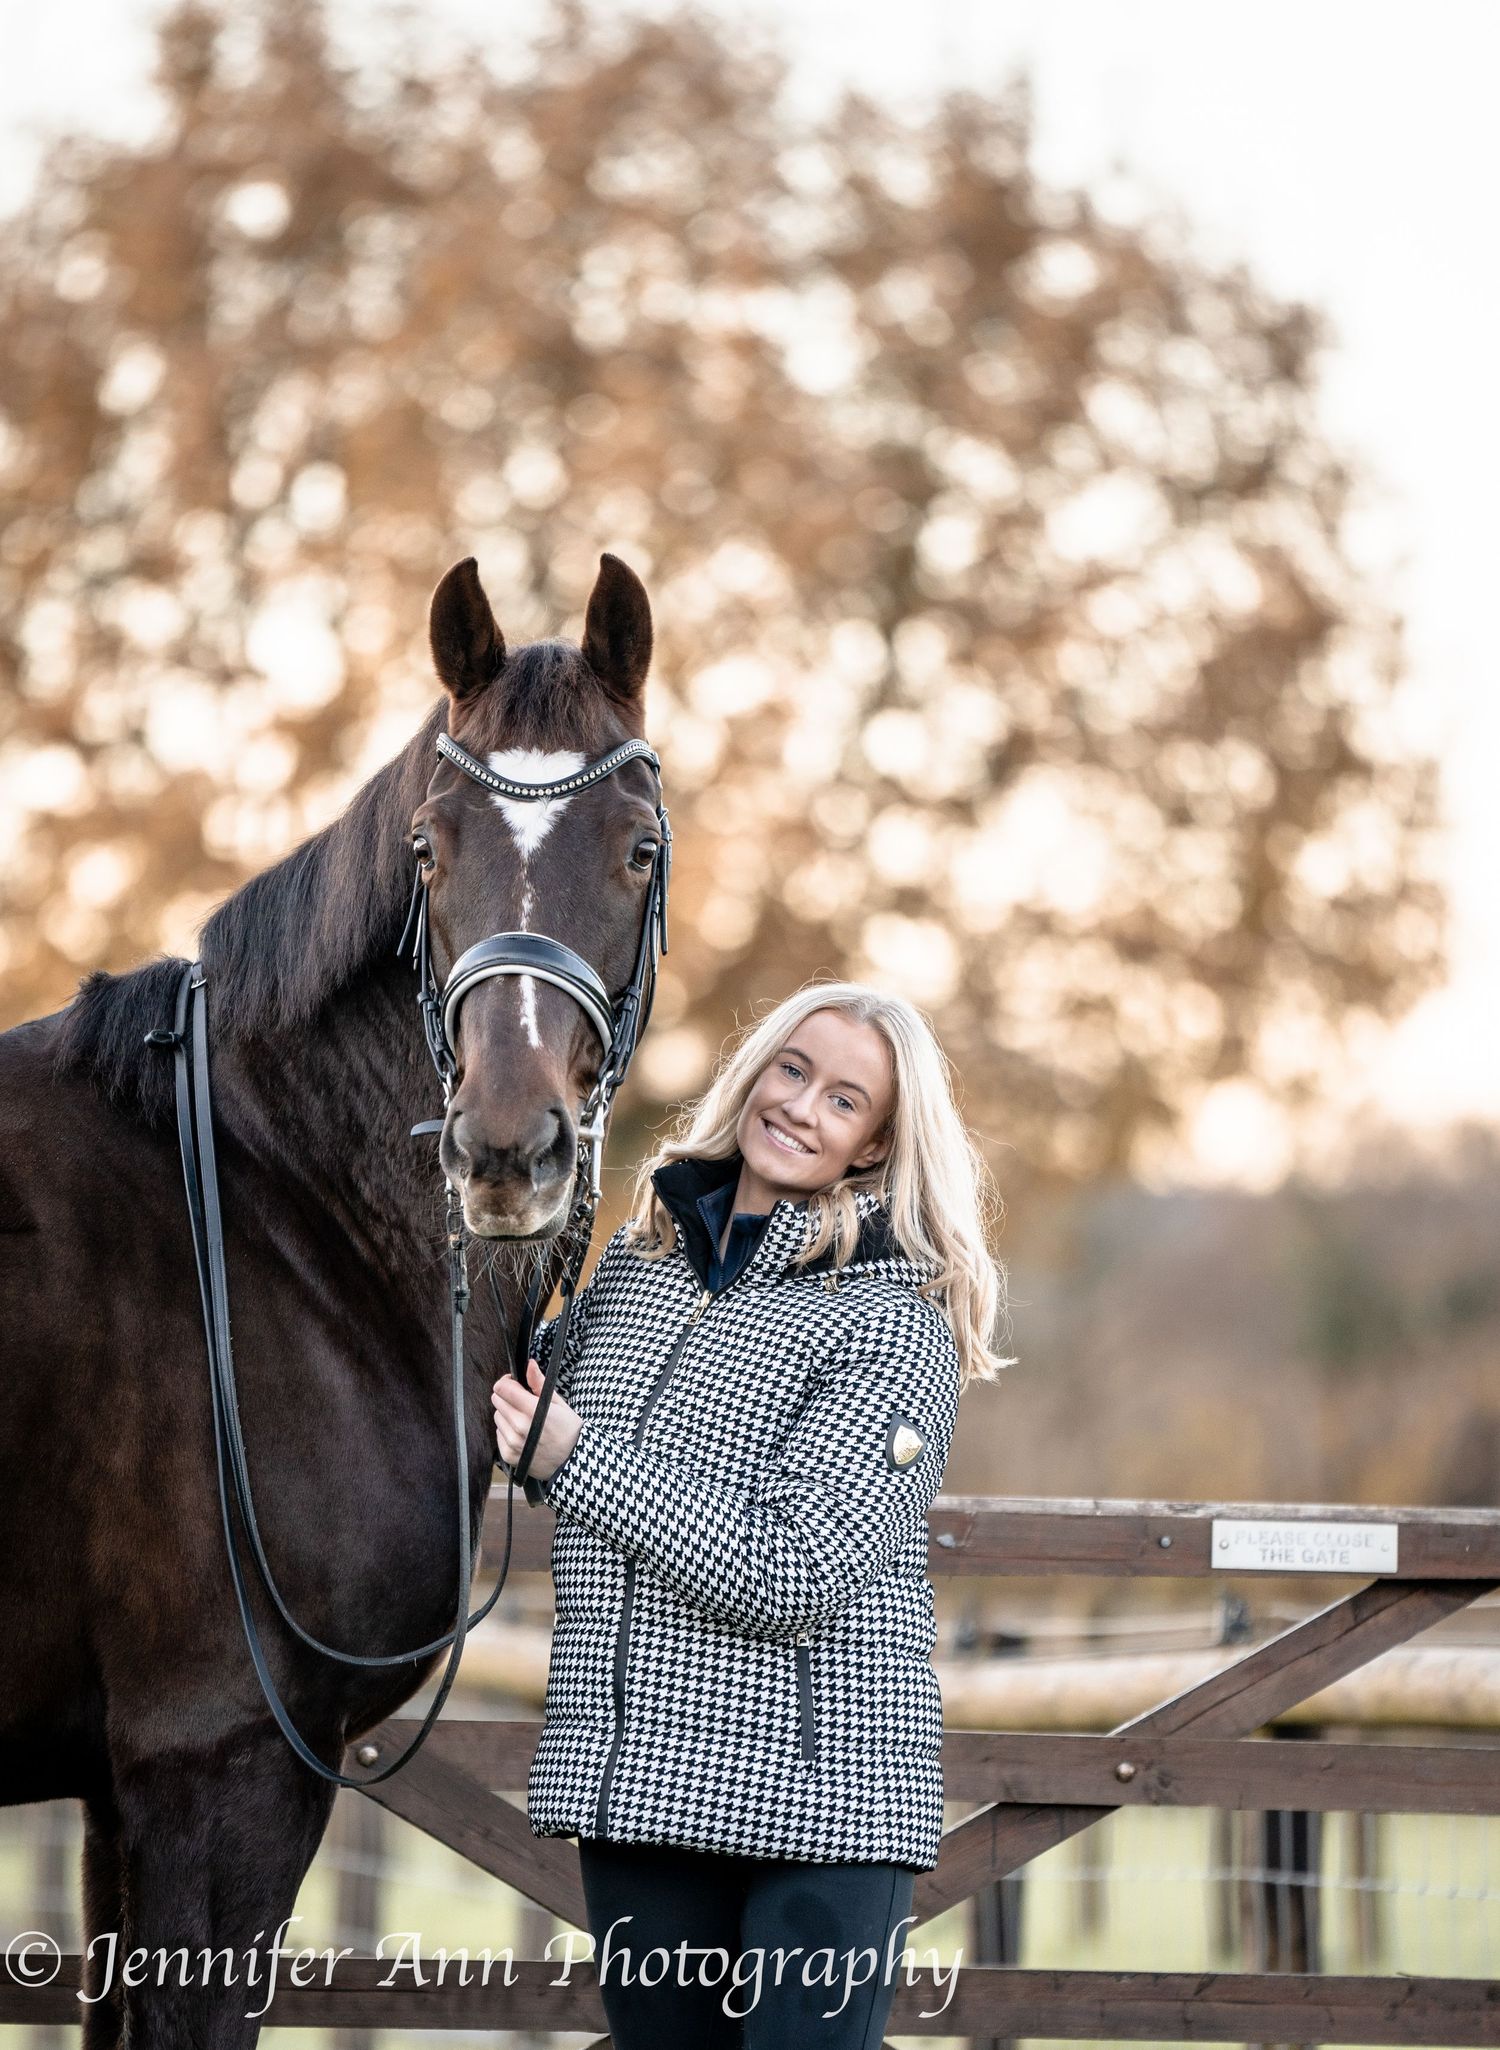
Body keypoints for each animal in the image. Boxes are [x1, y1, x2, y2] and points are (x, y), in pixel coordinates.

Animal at [0, 550, 662, 2048]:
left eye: (639, 850)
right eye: (428, 850)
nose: (506, 1148)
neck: (264, 1205)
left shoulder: (126, 1791)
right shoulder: (222, 1761)